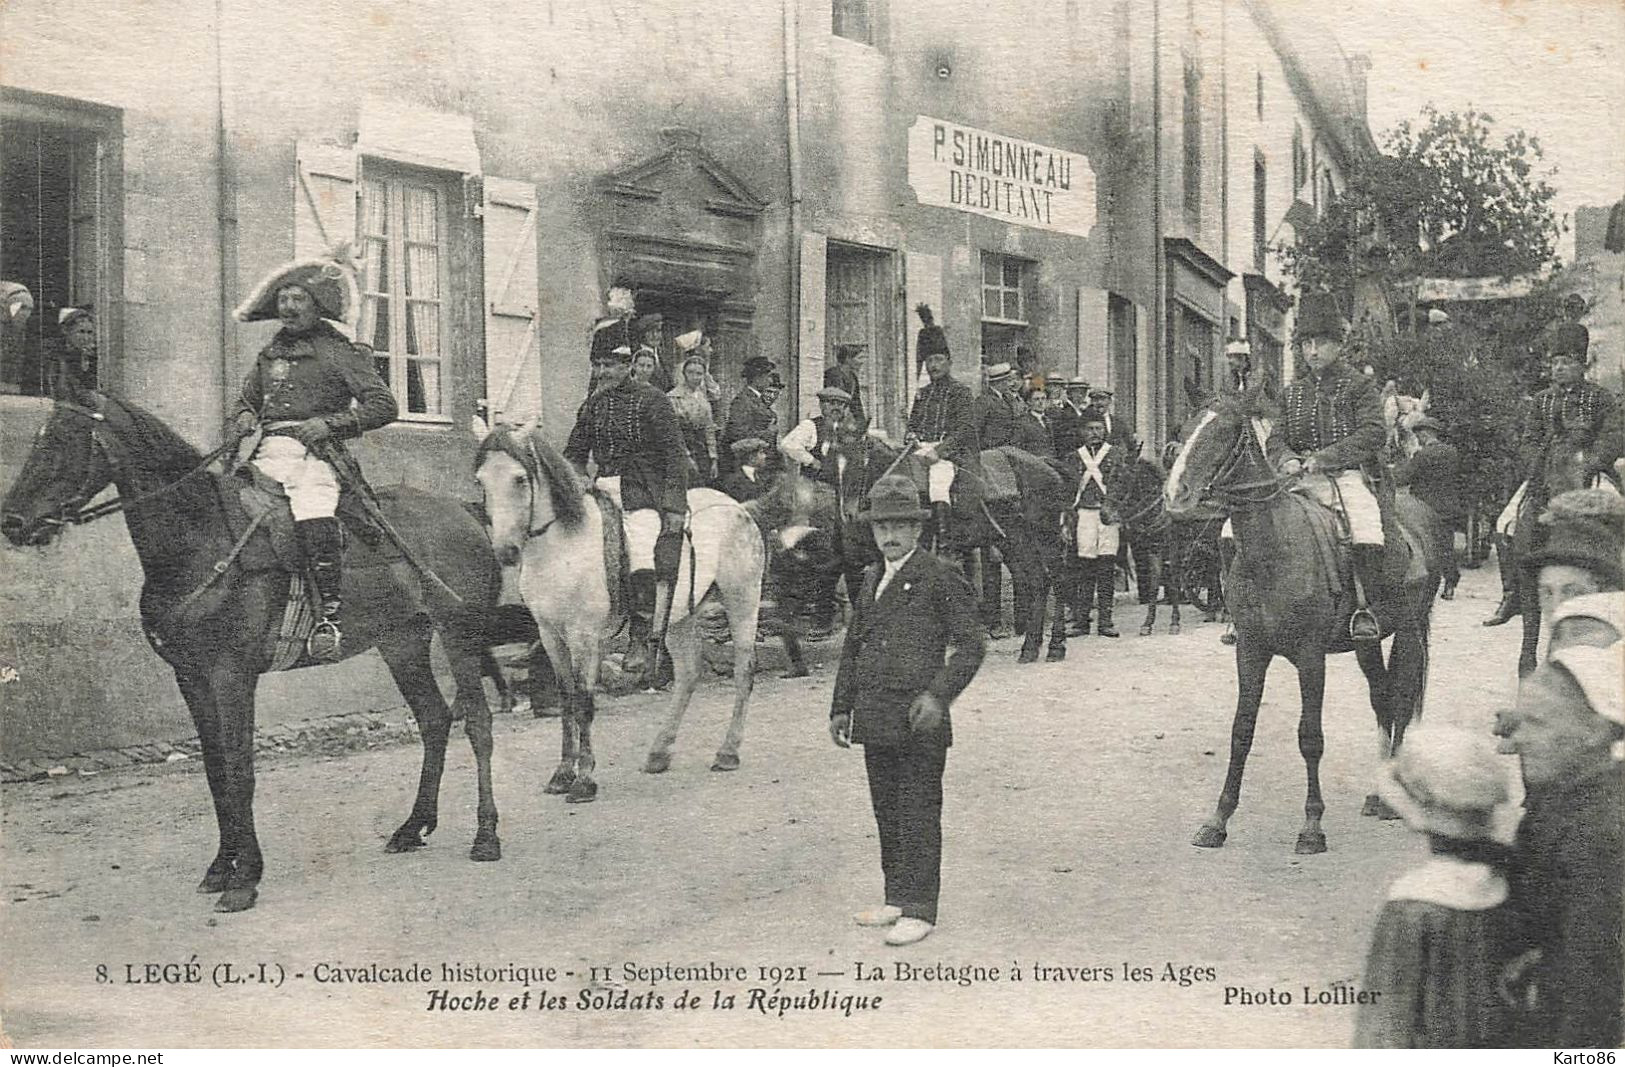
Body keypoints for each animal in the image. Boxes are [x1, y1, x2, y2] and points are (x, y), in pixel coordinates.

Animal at [0, 394, 533, 909]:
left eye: (62, 445)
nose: (13, 522)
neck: (201, 539)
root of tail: (465, 509)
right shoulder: (191, 678)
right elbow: (216, 770)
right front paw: (221, 866)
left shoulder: (232, 675)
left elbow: (241, 769)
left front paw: (246, 877)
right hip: (402, 643)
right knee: (434, 721)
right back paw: (412, 827)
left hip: (459, 636)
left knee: (478, 725)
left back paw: (486, 836)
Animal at [474, 419, 763, 799]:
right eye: (481, 481)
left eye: (520, 479)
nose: (505, 551)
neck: (560, 547)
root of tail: (737, 508)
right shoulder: (551, 635)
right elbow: (566, 699)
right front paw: (562, 773)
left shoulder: (583, 635)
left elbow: (584, 700)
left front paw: (584, 779)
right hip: (677, 618)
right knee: (688, 674)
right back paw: (659, 752)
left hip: (742, 600)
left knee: (744, 672)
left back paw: (727, 752)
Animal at [1163, 394, 1443, 851]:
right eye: (1185, 430)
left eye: (1223, 432)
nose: (1174, 493)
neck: (1274, 548)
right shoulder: (1251, 652)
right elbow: (1241, 732)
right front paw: (1219, 819)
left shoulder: (1311, 658)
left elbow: (1310, 737)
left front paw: (1312, 825)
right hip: (1367, 642)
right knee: (1382, 698)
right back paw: (1375, 793)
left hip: (1411, 630)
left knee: (1401, 700)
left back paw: (1390, 797)